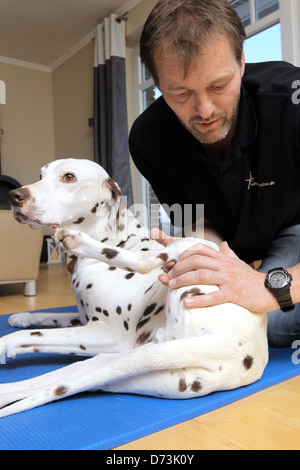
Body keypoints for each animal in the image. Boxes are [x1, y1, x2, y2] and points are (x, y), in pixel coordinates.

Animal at [0, 159, 268, 418]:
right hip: (115, 367)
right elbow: (49, 317)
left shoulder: (107, 334)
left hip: (193, 248)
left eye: (69, 177)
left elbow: (22, 337)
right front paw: (21, 317)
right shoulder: (85, 321)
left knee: (146, 262)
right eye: (40, 175)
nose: (14, 196)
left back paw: (79, 241)